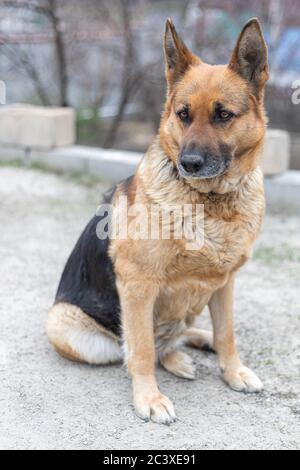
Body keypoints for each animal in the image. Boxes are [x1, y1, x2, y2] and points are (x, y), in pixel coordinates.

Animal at [47, 18, 270, 424]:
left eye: (223, 115)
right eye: (183, 114)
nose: (189, 164)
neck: (210, 202)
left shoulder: (225, 282)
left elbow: (227, 334)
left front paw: (233, 371)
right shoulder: (138, 287)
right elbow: (142, 351)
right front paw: (149, 398)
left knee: (182, 332)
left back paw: (199, 341)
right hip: (66, 325)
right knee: (148, 345)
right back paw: (178, 356)